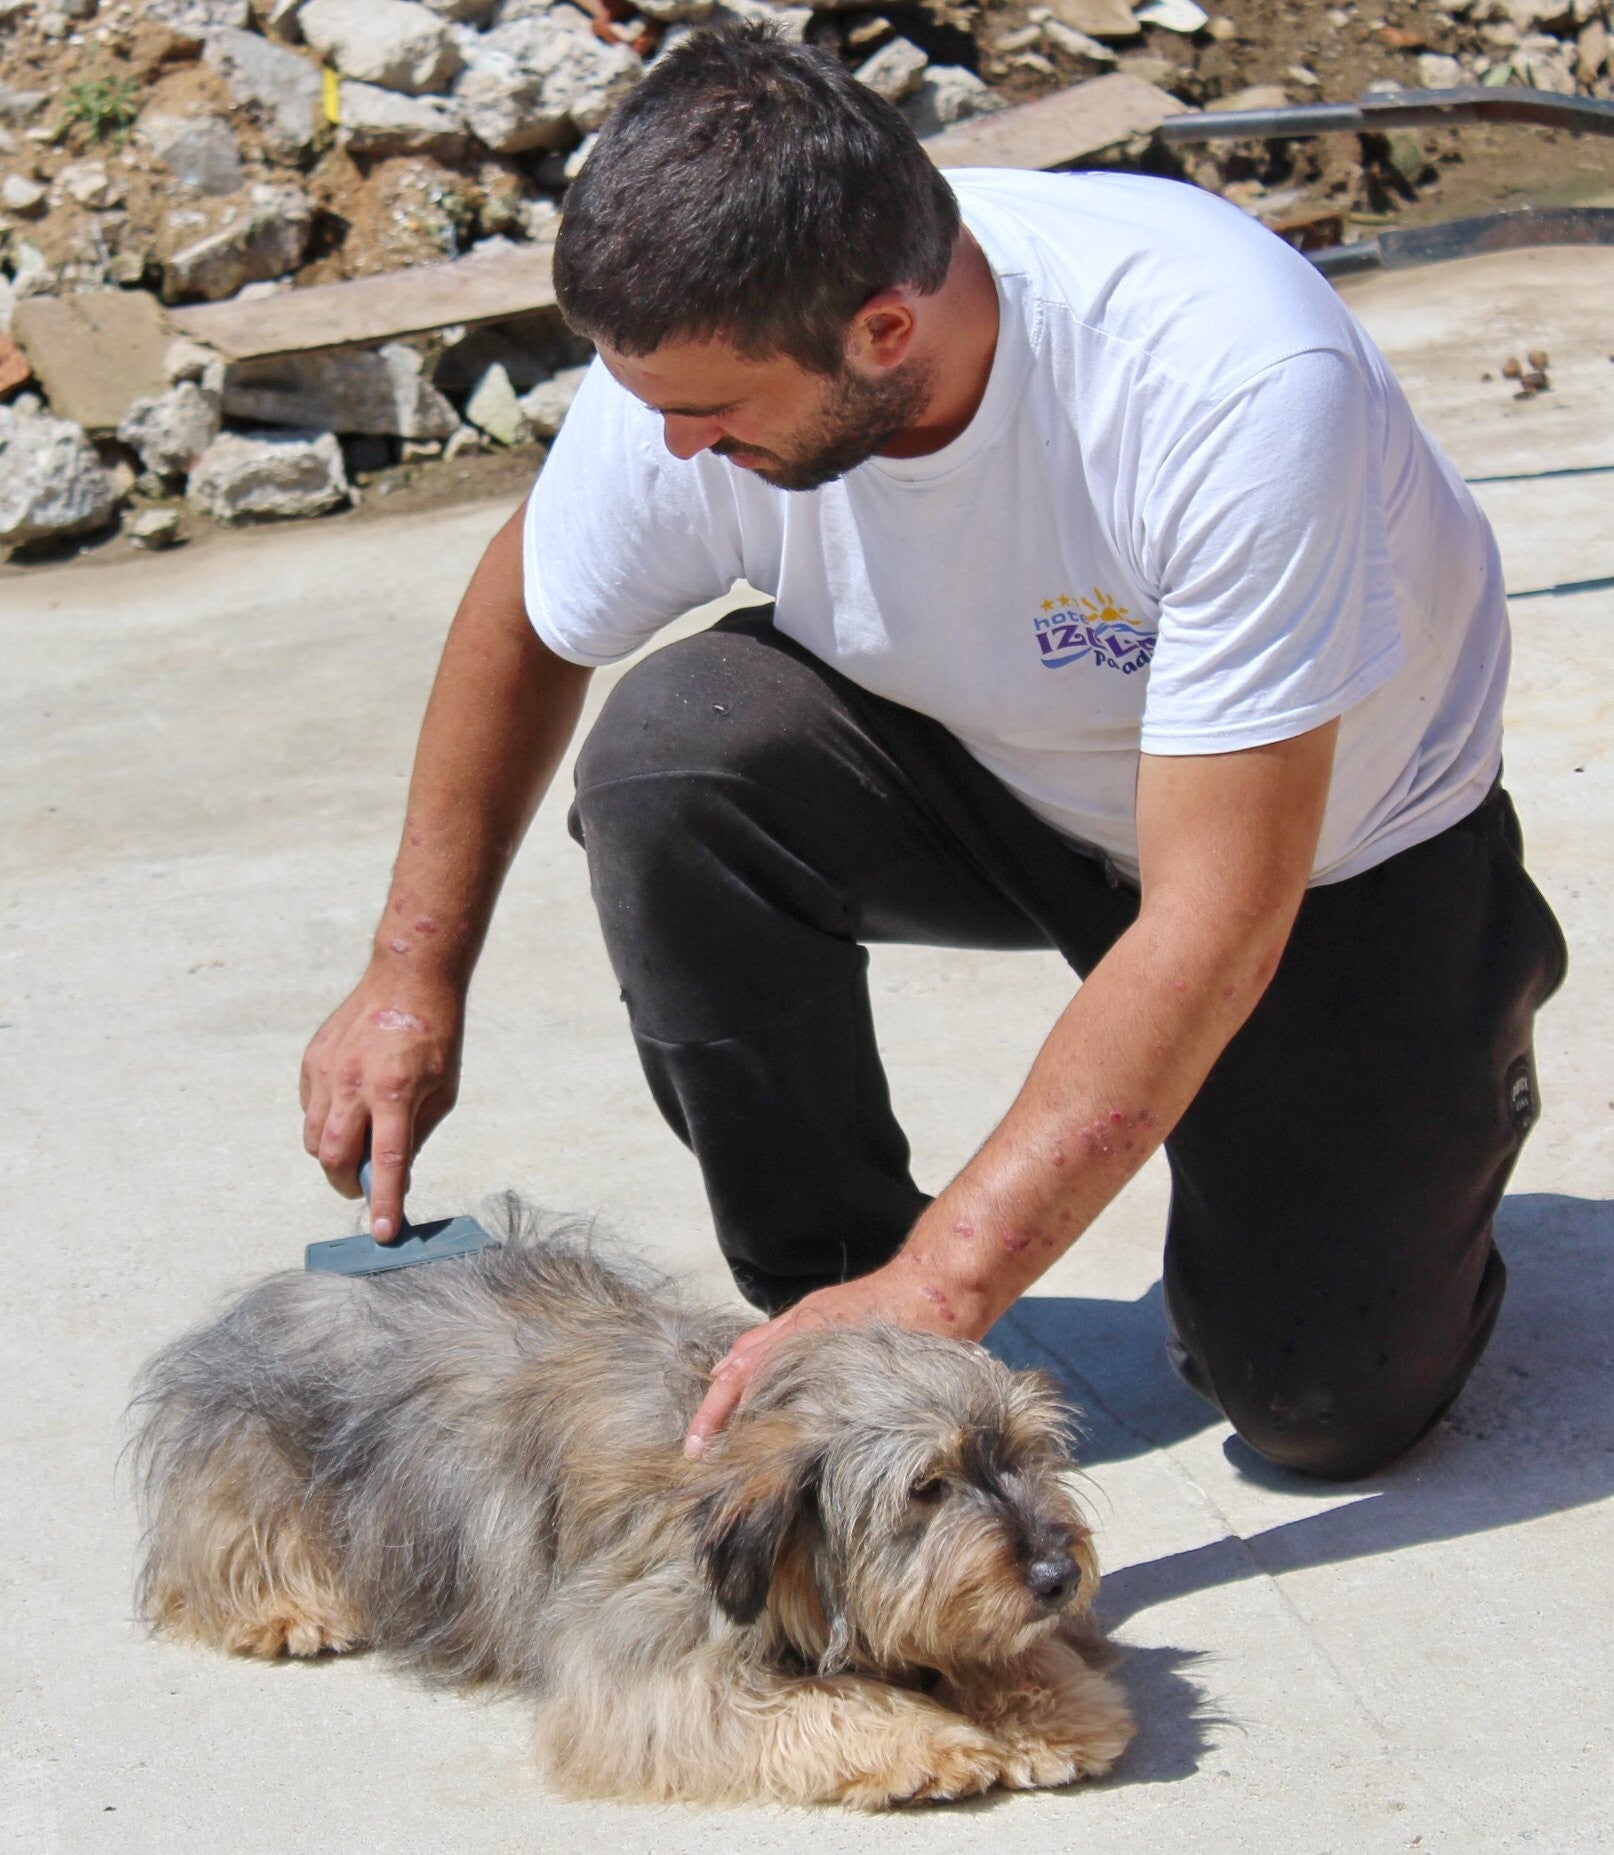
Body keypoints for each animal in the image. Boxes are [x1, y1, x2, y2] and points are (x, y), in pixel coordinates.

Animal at [131, 1206, 1135, 1807]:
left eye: (1023, 1454)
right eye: (926, 1486)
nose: (1056, 1573)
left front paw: (1044, 1704)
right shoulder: (646, 1668)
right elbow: (813, 1704)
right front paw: (930, 1742)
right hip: (255, 1466)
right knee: (220, 1548)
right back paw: (286, 1607)